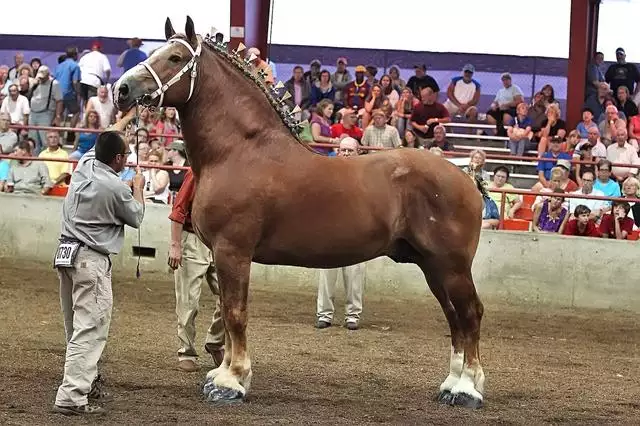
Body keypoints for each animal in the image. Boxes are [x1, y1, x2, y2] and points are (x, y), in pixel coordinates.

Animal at [114, 16, 484, 410]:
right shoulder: (223, 254)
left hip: (451, 267)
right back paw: (451, 385)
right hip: (433, 267)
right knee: (455, 319)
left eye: (176, 57)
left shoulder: (233, 251)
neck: (239, 151)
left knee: (470, 314)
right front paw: (222, 374)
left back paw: (467, 389)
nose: (122, 89)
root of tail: (466, 178)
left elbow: (235, 313)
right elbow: (227, 315)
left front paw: (232, 382)